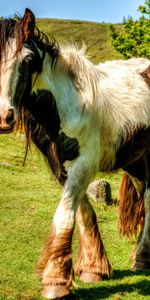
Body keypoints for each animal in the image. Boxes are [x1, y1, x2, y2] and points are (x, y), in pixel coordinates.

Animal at [0, 8, 150, 298]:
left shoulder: (85, 163)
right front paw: (93, 268)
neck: (68, 104)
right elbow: (83, 212)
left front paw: (56, 281)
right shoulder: (62, 166)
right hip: (136, 164)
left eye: (27, 59)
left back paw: (142, 256)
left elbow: (65, 214)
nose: (4, 117)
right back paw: (141, 257)